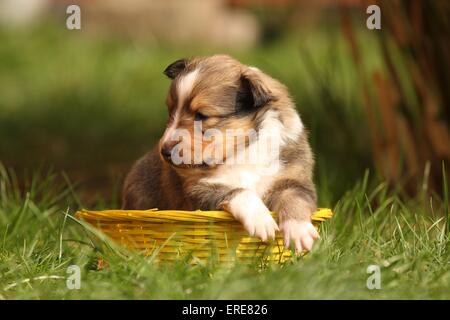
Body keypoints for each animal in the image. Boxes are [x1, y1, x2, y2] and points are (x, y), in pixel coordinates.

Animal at [121, 55, 318, 255]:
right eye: (171, 111)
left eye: (201, 116)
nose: (165, 151)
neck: (242, 150)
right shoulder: (198, 188)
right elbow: (238, 190)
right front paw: (261, 220)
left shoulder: (294, 177)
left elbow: (294, 197)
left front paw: (299, 232)